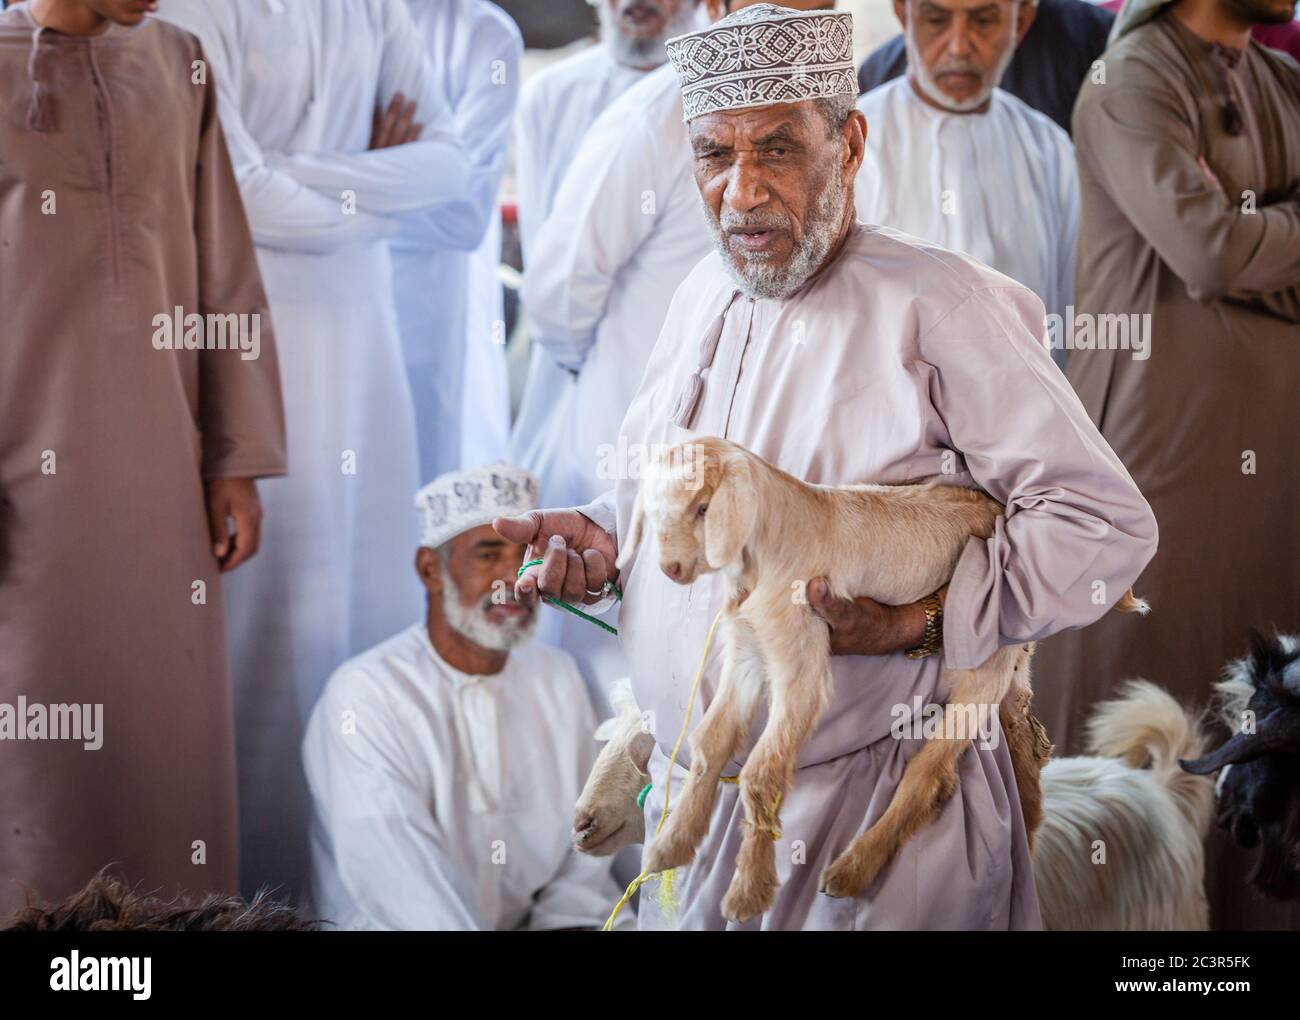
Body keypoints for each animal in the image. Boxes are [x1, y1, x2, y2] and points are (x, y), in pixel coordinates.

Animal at [615, 436, 1146, 922]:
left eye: (703, 507)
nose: (671, 568)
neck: (775, 541)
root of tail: (996, 506)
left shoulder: (802, 658)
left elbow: (761, 772)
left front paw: (749, 892)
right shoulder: (747, 653)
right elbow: (710, 742)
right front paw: (672, 845)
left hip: (982, 655)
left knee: (930, 773)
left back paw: (853, 868)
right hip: (1013, 662)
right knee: (1025, 743)